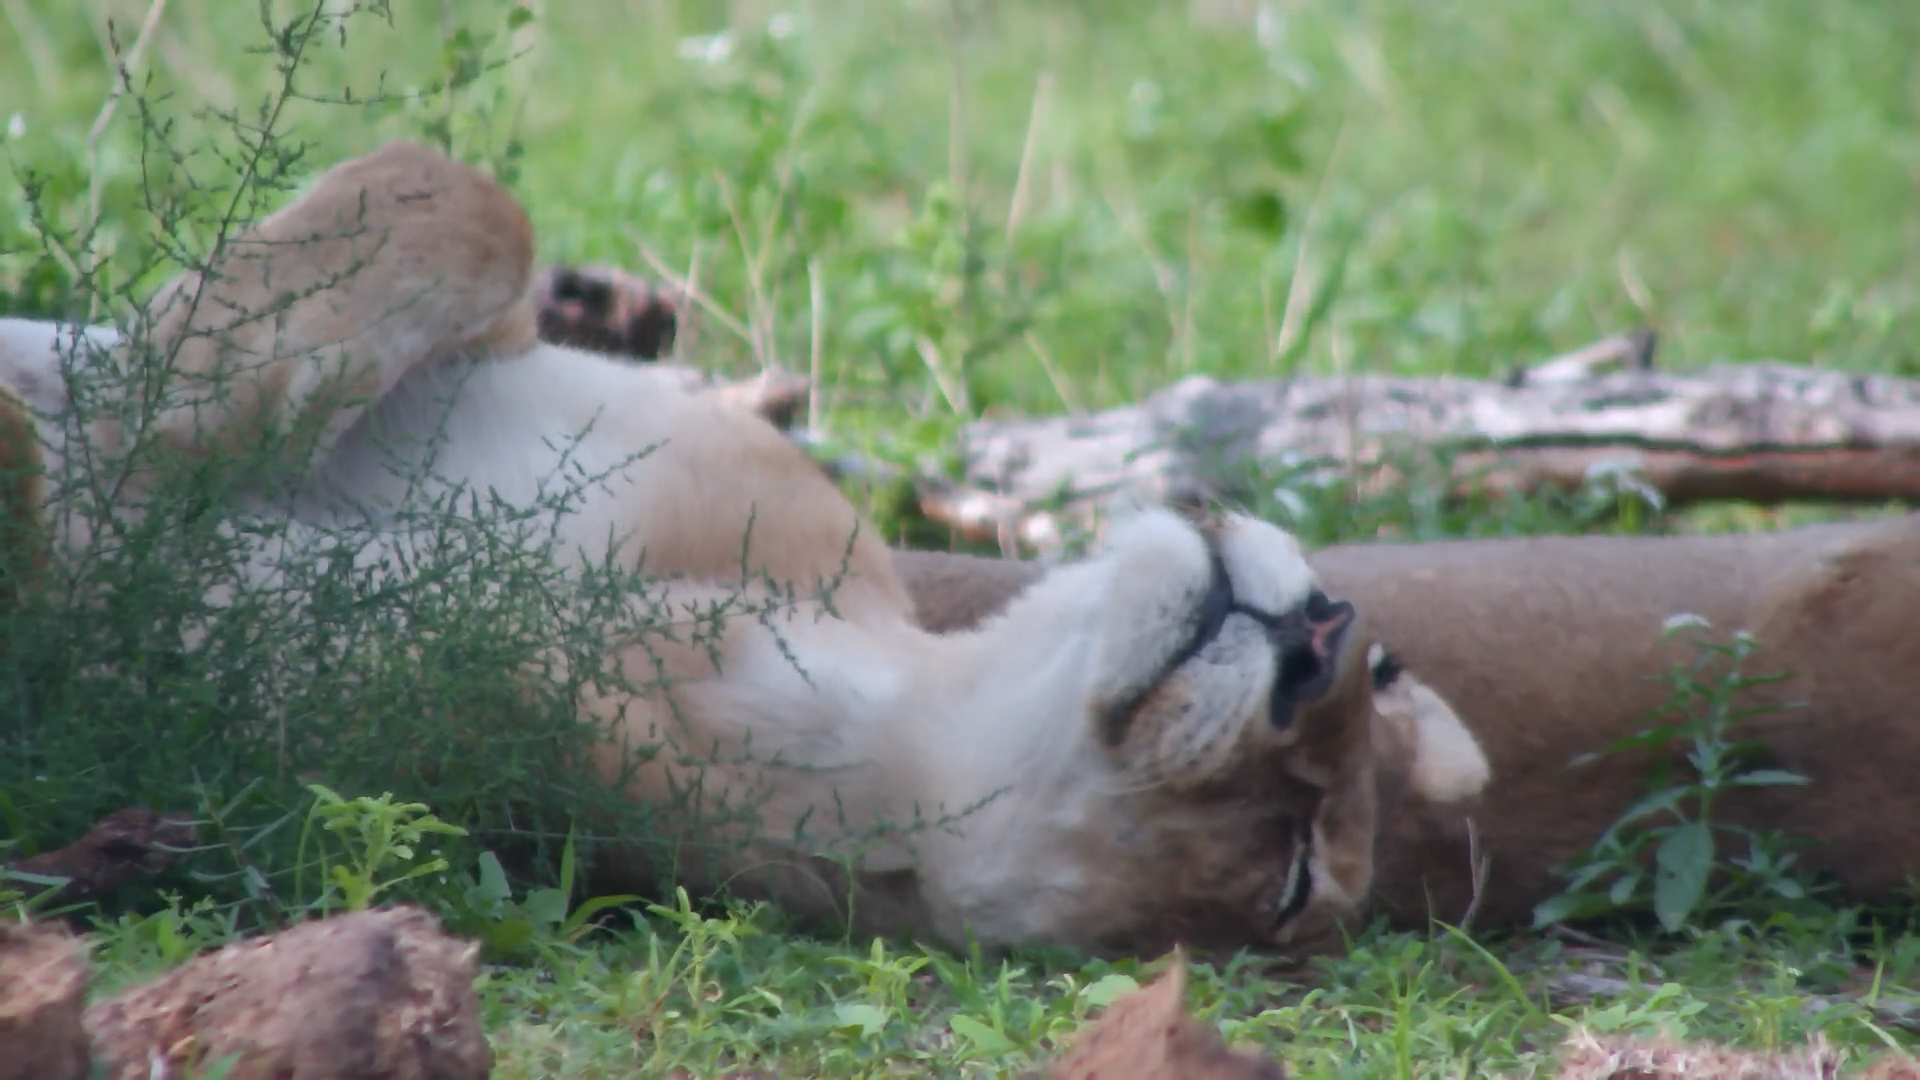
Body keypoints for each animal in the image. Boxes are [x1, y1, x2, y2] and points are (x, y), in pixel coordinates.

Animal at [0, 140, 1491, 957]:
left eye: (1293, 872)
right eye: (1385, 672)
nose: (1318, 639)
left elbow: (82, 576)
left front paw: (90, 488)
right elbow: (457, 205)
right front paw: (133, 414)